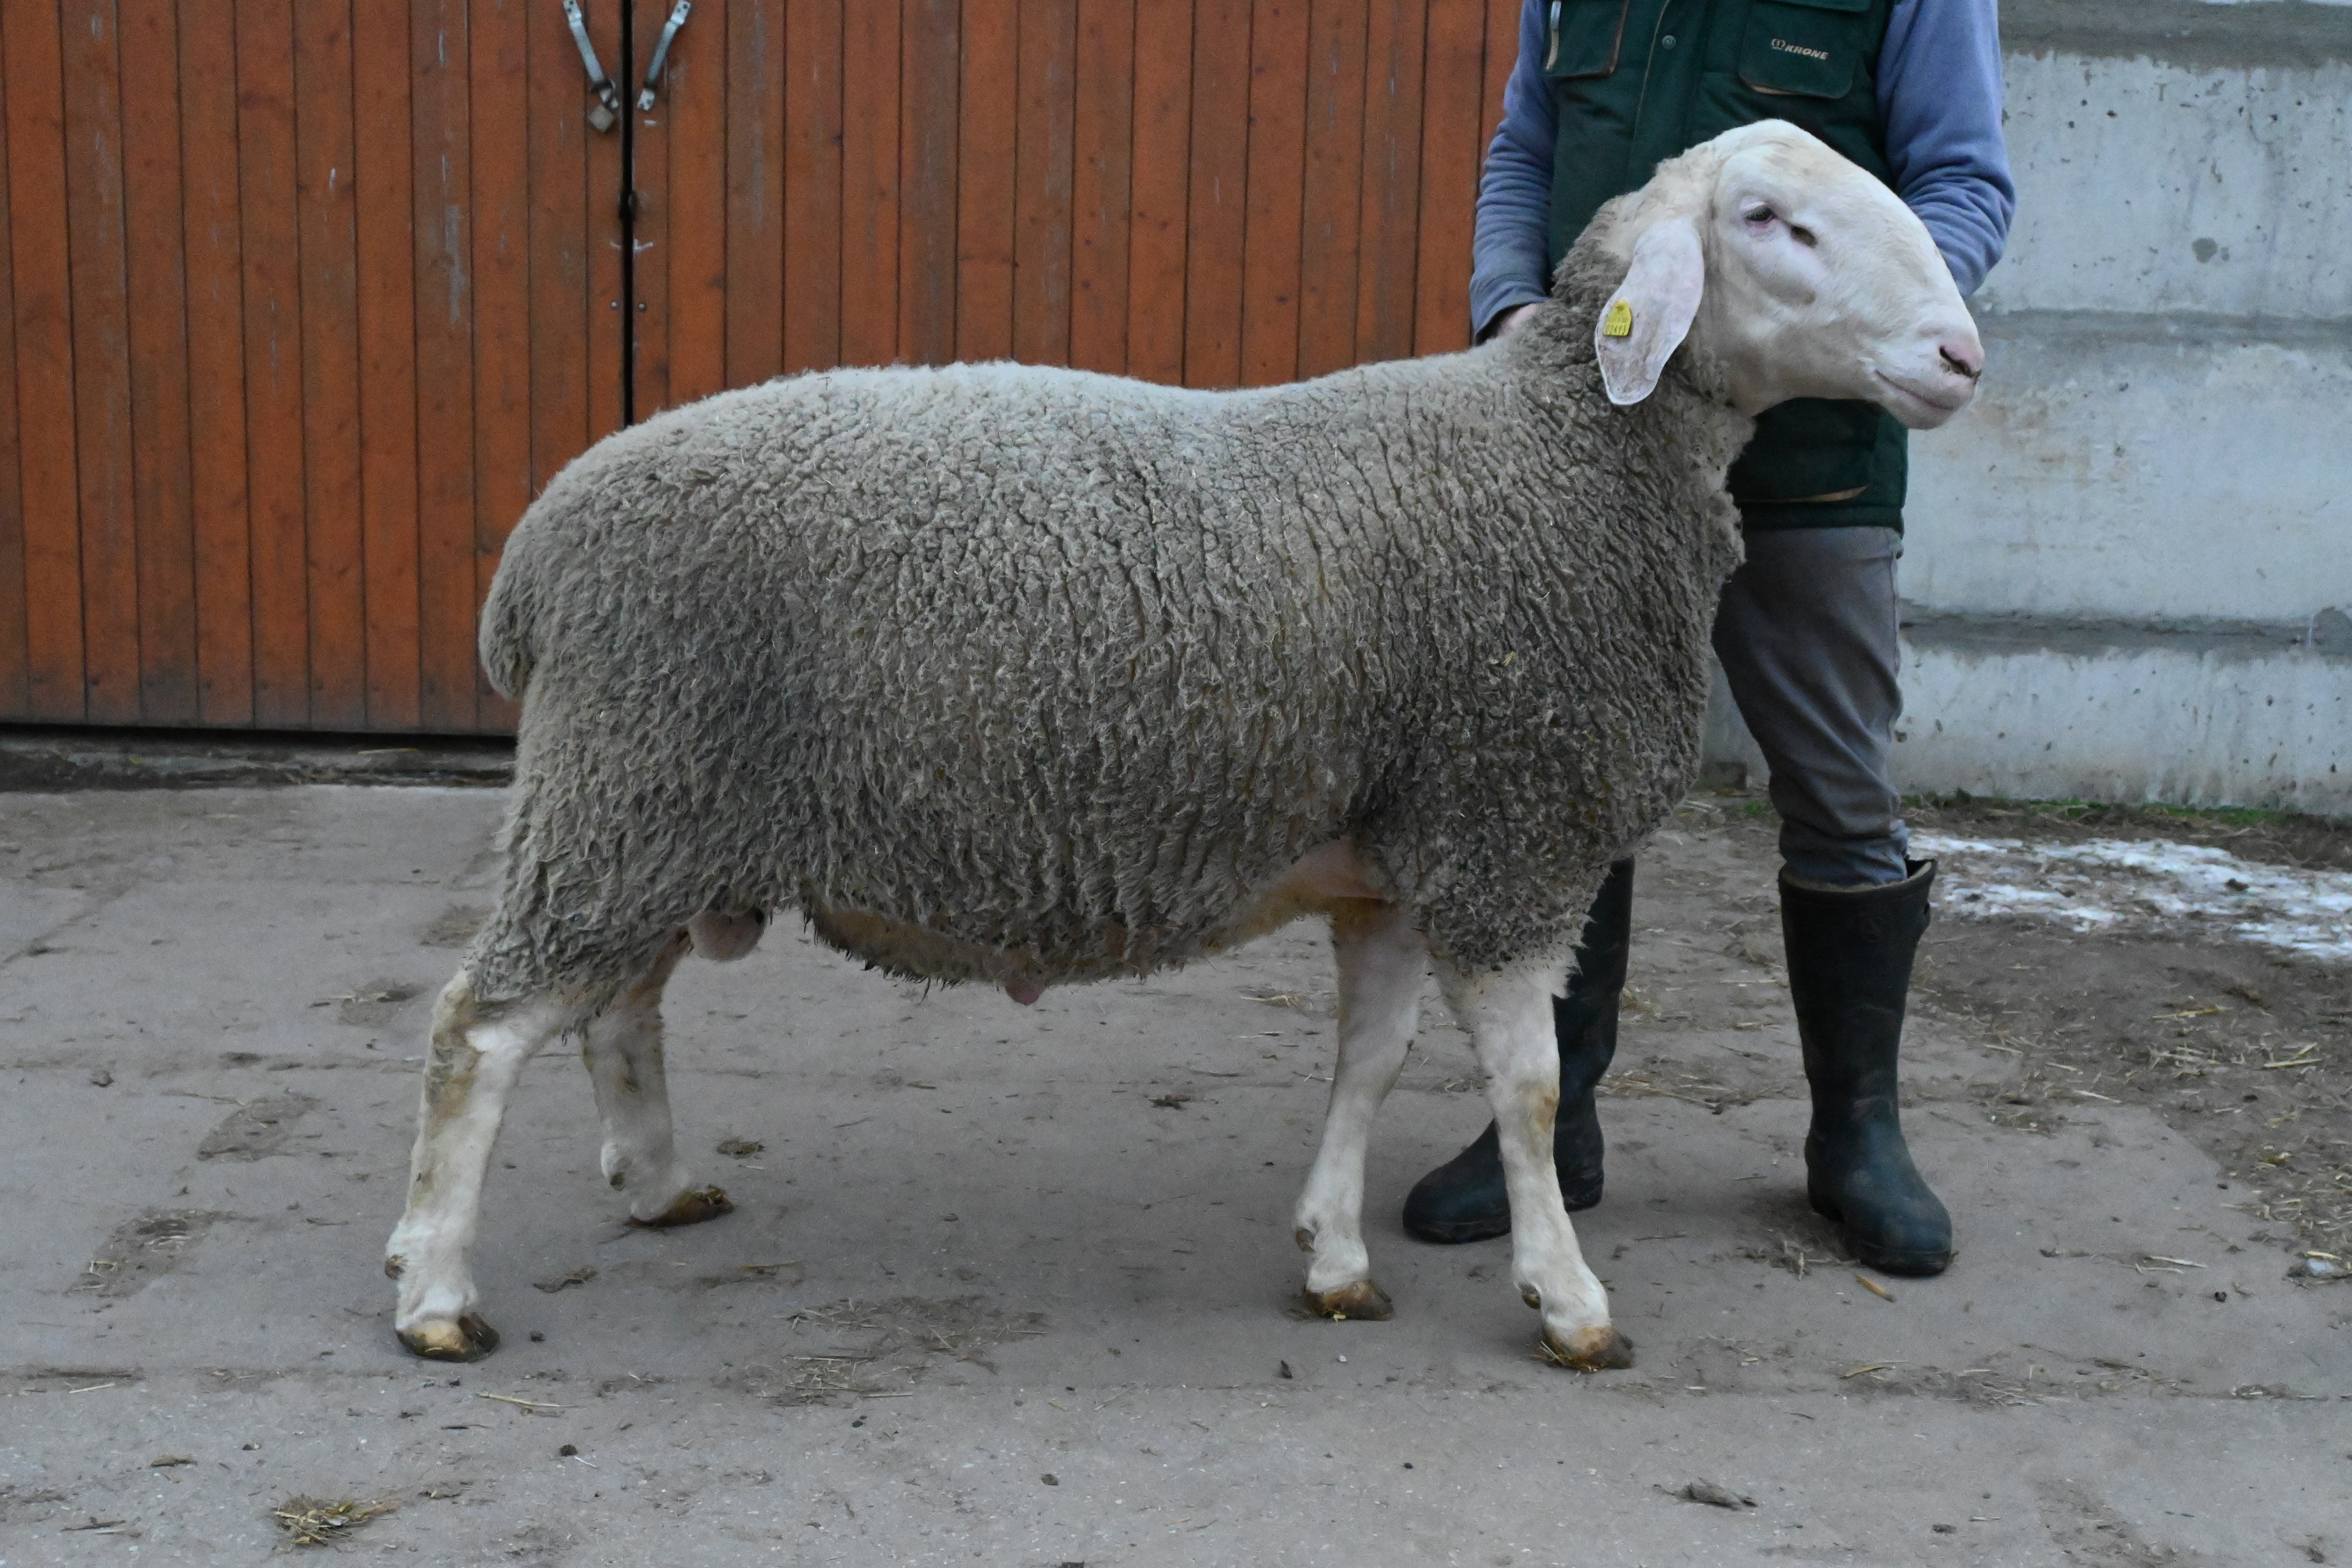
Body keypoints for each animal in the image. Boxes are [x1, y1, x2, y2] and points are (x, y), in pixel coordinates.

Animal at [383, 121, 1983, 1370]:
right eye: (1771, 222)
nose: (1960, 355)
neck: (1562, 450)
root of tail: (534, 557)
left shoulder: (1393, 855)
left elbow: (1370, 1061)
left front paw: (1334, 1259)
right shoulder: (1503, 827)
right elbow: (1527, 1088)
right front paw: (1567, 1299)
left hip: (662, 808)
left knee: (616, 1011)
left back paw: (656, 1187)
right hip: (627, 788)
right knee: (480, 1027)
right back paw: (436, 1291)